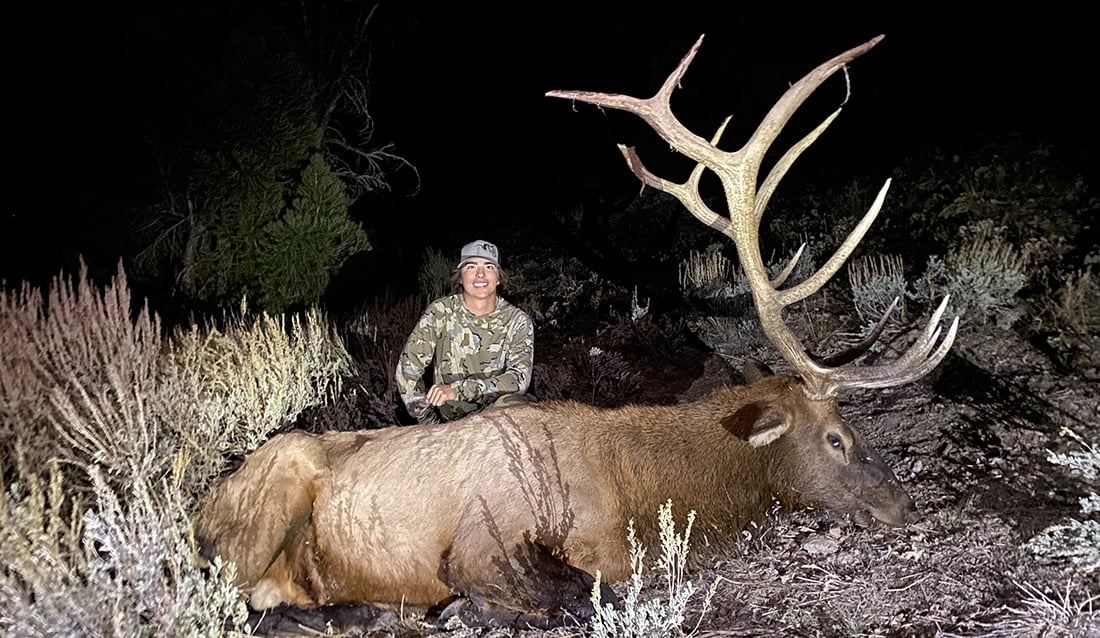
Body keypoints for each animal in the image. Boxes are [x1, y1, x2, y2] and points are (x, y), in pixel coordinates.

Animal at [193, 33, 957, 629]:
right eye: (836, 438)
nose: (906, 503)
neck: (638, 494)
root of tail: (205, 503)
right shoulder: (479, 544)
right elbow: (585, 594)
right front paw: (464, 609)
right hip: (274, 486)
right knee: (235, 592)